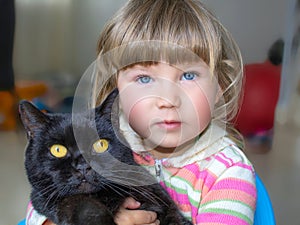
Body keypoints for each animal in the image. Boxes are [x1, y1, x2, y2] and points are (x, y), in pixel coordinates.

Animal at [19, 89, 192, 225]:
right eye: (57, 150)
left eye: (101, 144)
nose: (83, 166)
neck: (108, 199)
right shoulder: (44, 199)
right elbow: (79, 203)